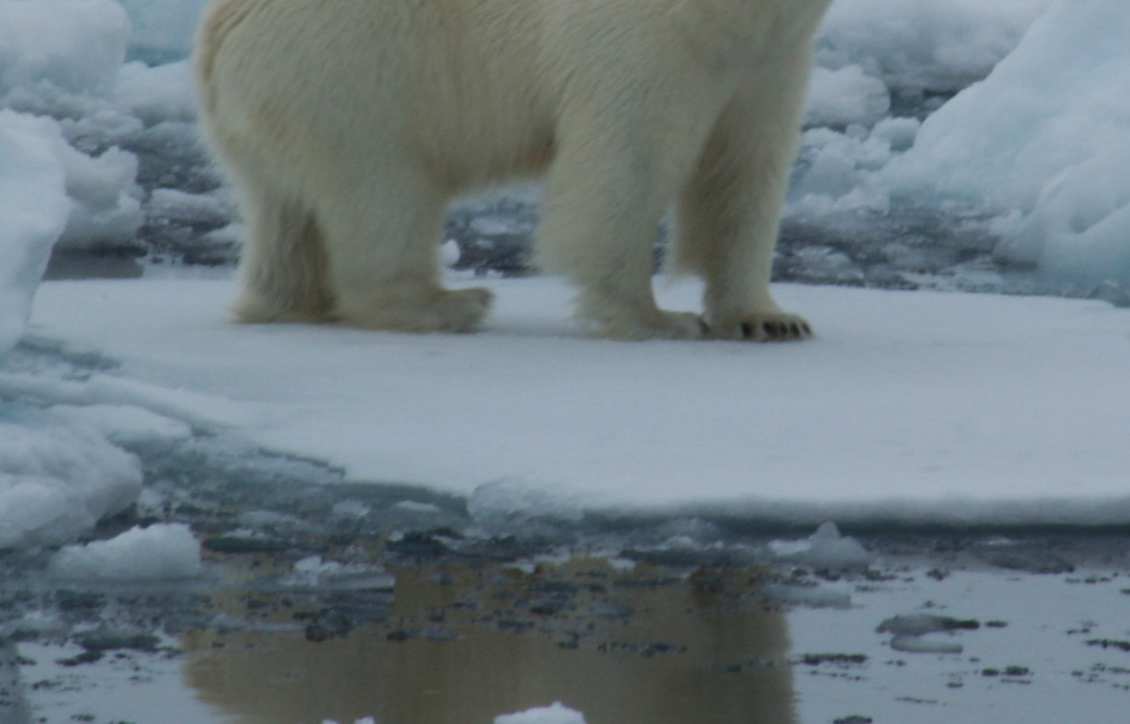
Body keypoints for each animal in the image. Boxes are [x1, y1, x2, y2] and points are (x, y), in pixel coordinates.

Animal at [196, 0, 831, 341]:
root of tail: (216, 40)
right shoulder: (647, 39)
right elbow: (626, 163)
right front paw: (657, 318)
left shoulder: (769, 56)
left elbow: (746, 172)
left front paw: (769, 319)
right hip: (357, 70)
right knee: (383, 192)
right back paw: (449, 303)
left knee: (285, 213)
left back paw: (285, 301)